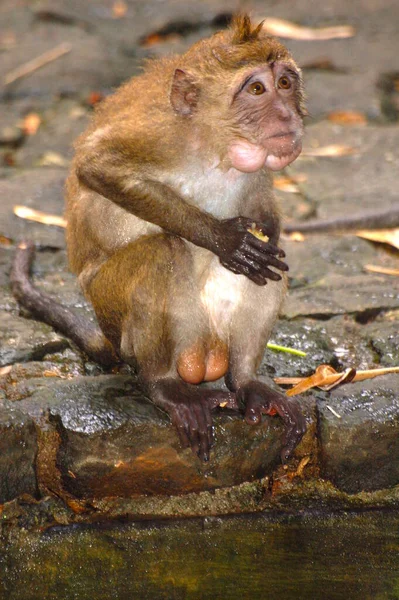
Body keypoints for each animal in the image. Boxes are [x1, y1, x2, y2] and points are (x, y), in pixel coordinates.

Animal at [11, 15, 306, 464]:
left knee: (268, 264)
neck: (218, 149)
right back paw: (163, 384)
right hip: (117, 313)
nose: (286, 115)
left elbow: (264, 217)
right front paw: (224, 238)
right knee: (159, 253)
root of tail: (204, 351)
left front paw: (257, 231)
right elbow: (97, 165)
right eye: (256, 90)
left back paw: (245, 381)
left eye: (286, 83)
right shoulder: (160, 135)